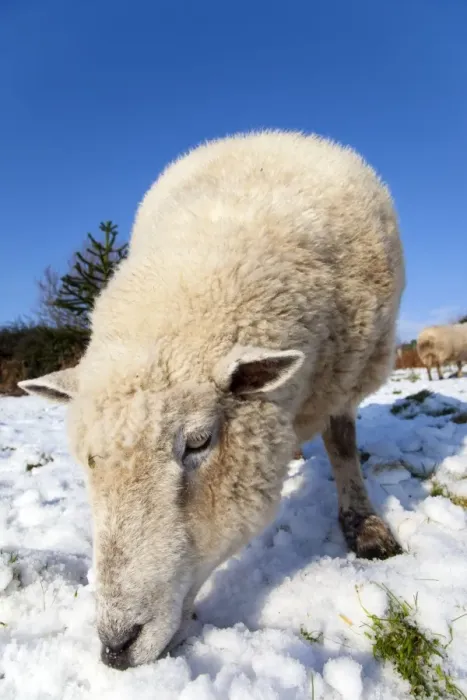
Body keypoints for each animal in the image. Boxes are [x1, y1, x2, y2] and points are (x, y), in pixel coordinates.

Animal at [18, 129, 405, 670]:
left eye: (199, 443)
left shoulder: (345, 379)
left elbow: (343, 444)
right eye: (89, 460)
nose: (116, 646)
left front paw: (366, 526)